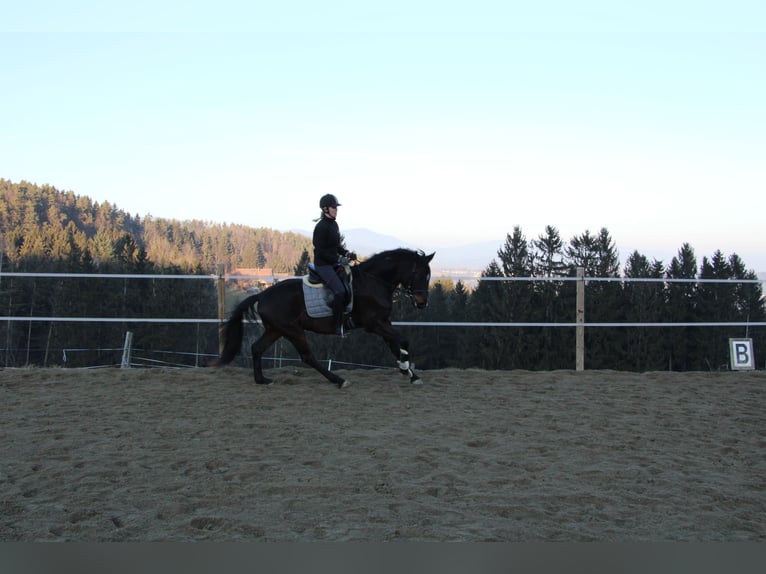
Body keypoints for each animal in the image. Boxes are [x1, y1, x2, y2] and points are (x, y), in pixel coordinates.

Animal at [216, 250, 436, 390]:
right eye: (421, 274)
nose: (422, 303)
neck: (373, 281)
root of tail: (262, 295)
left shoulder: (383, 322)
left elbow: (394, 345)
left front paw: (409, 373)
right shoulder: (374, 324)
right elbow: (403, 340)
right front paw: (406, 369)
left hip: (275, 330)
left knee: (256, 348)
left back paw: (262, 380)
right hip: (293, 331)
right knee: (308, 357)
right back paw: (338, 380)